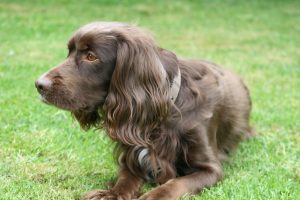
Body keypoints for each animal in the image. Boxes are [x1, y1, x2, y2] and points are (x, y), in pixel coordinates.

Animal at [36, 21, 254, 199]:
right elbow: (126, 179)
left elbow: (176, 183)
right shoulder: (132, 155)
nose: (39, 84)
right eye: (69, 52)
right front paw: (110, 193)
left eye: (91, 56)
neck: (165, 111)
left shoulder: (211, 169)